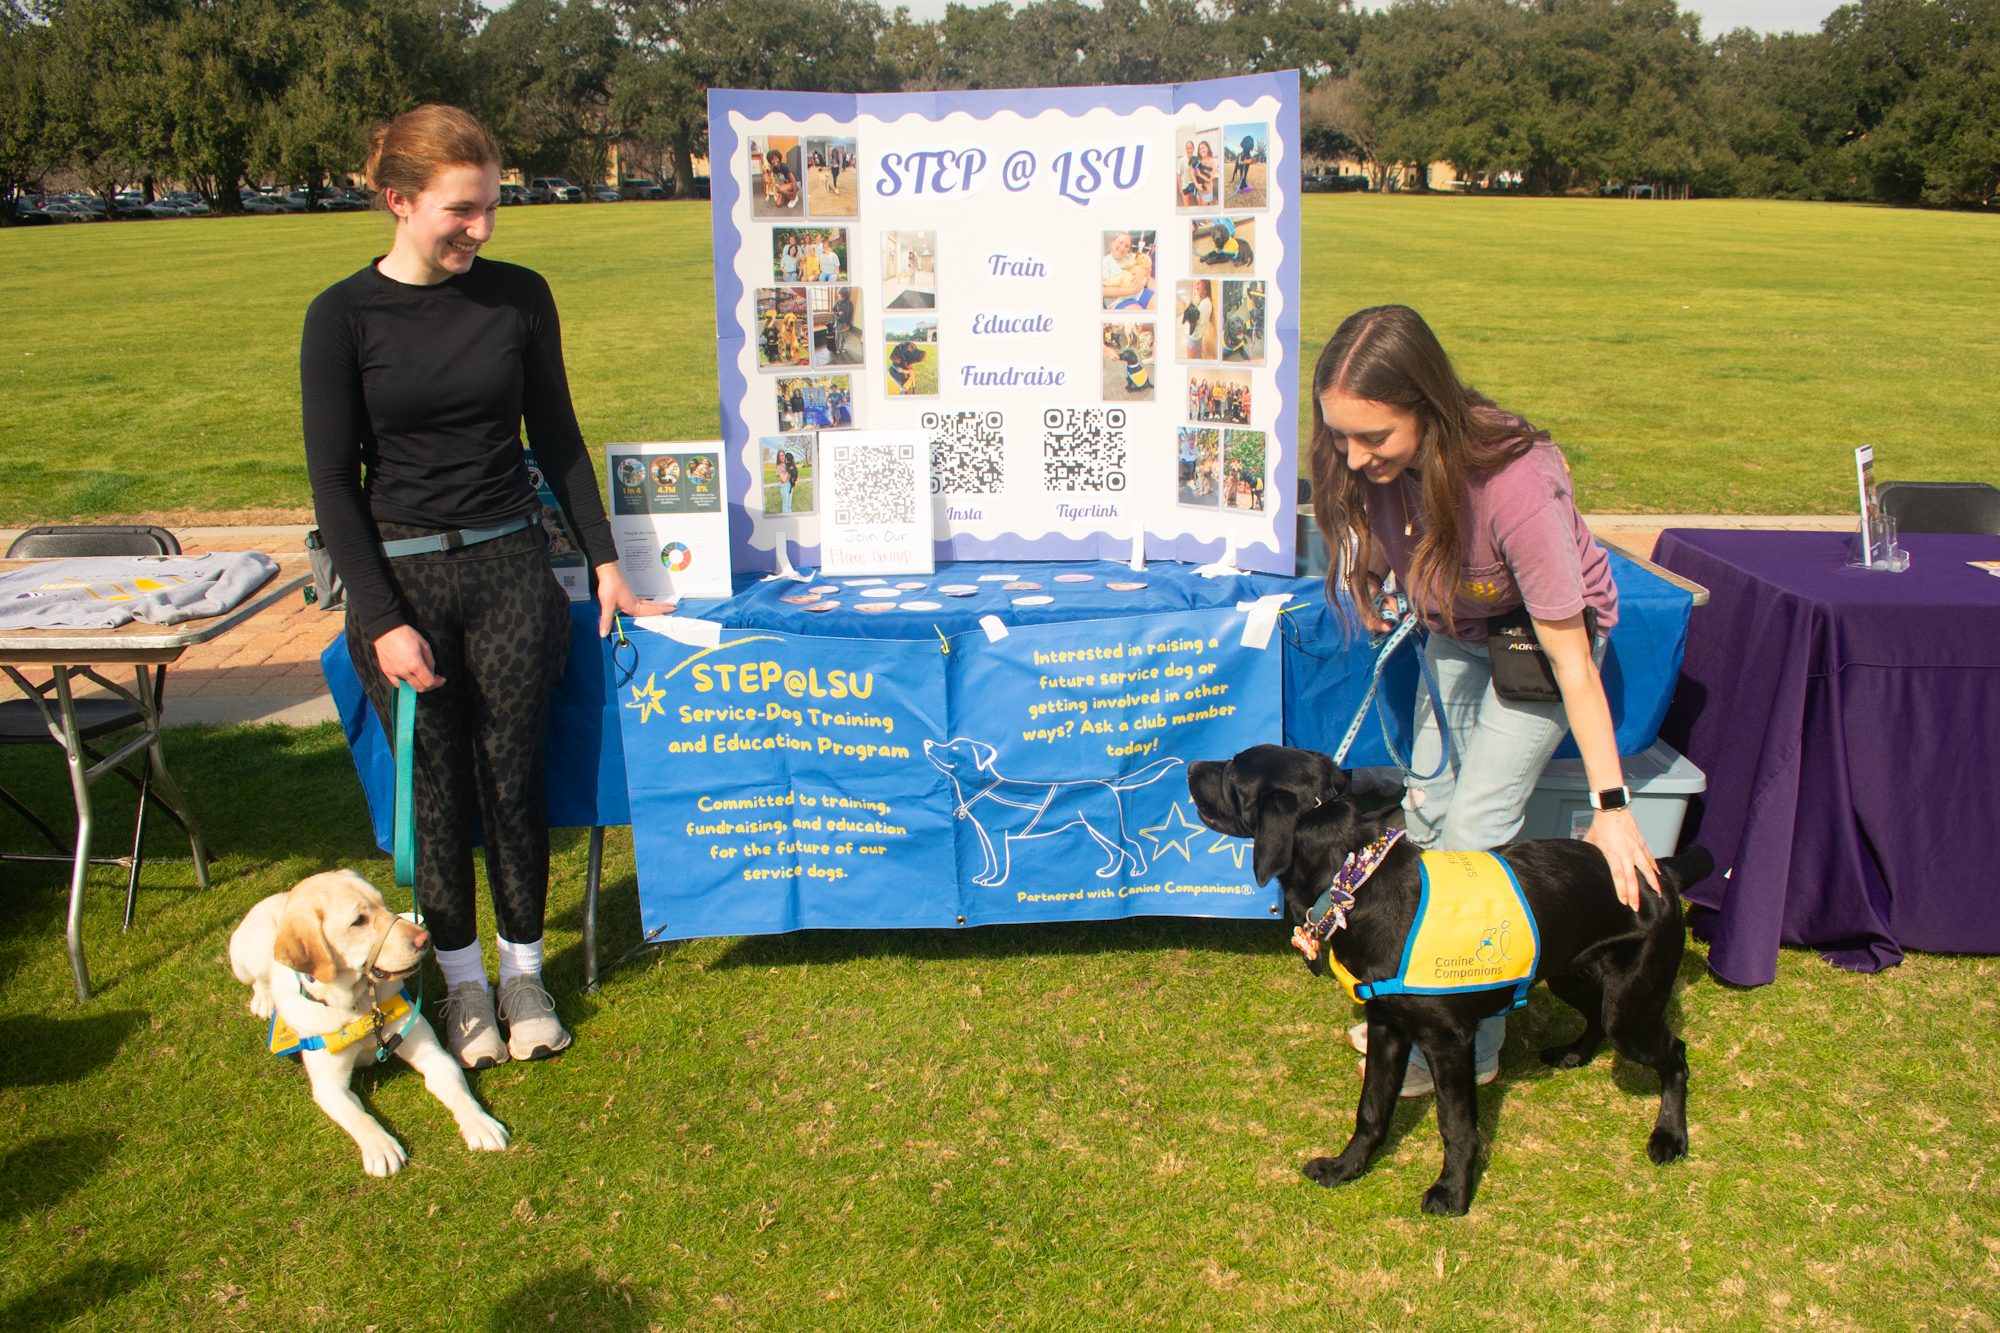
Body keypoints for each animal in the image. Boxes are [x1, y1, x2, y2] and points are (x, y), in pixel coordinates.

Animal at [230, 868, 508, 1168]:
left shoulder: (432, 1054)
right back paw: (264, 1000)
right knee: (260, 980)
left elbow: (460, 1093)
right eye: (358, 921)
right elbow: (359, 1117)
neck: (358, 1005)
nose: (425, 938)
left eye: (383, 904)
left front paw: (480, 1123)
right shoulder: (328, 1086)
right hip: (252, 955)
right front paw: (380, 1146)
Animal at [1184, 740, 1720, 1208]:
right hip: (1576, 977)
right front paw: (1347, 1167)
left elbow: (1456, 1126)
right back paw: (1574, 1054)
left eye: (1232, 774)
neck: (1357, 880)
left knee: (1675, 1053)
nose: (1188, 765)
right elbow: (1372, 1110)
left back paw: (1670, 1135)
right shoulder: (1387, 1027)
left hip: (1631, 1010)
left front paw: (1453, 1193)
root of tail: (1660, 871)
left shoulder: (1449, 1041)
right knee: (1598, 1021)